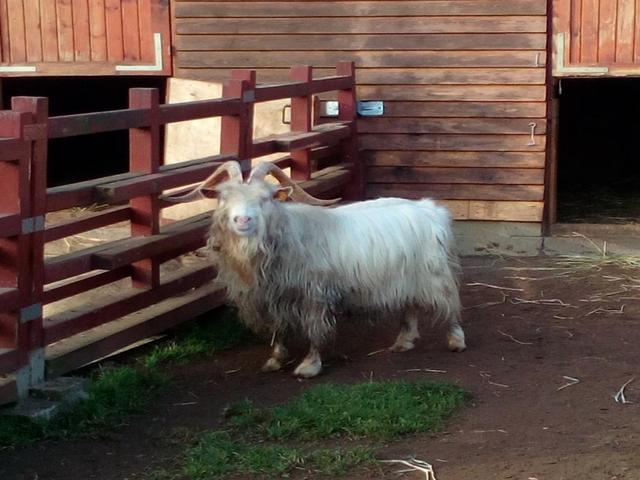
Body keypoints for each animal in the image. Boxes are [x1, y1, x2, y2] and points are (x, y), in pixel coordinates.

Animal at [172, 161, 466, 378]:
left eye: (266, 198)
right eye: (223, 197)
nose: (243, 219)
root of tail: (430, 208)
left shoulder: (314, 295)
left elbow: (314, 330)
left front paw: (309, 366)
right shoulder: (274, 295)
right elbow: (279, 327)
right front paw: (276, 359)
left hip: (435, 273)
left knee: (450, 305)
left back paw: (455, 340)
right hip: (406, 277)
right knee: (410, 305)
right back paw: (404, 341)